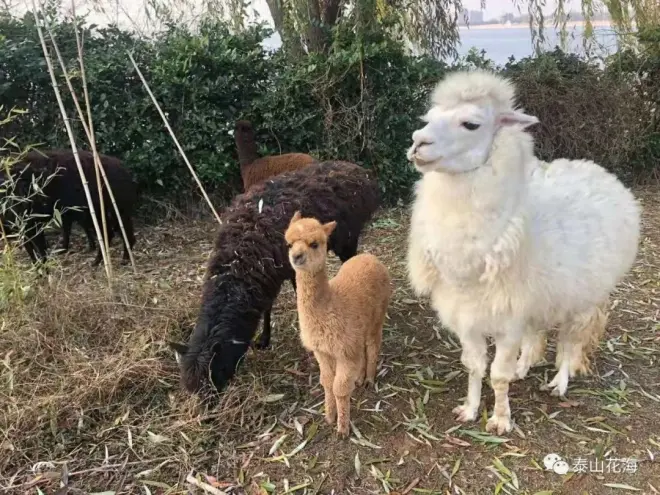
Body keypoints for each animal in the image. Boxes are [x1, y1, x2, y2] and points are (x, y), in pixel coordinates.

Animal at [1, 149, 138, 265]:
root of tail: (124, 169)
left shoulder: (32, 224)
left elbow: (38, 247)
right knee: (114, 233)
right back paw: (102, 260)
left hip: (114, 211)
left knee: (119, 233)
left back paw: (118, 259)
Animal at [169, 160, 380, 395]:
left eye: (215, 372)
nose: (210, 405)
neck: (238, 259)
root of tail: (358, 171)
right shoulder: (266, 277)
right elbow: (268, 306)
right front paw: (264, 339)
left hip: (348, 239)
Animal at [285, 211, 391, 437]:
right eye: (289, 244)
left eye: (314, 243)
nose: (296, 257)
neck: (330, 306)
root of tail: (370, 256)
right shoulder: (323, 351)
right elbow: (326, 382)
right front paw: (329, 417)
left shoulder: (344, 352)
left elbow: (339, 388)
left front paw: (342, 429)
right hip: (358, 329)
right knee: (362, 349)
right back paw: (359, 379)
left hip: (377, 315)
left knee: (372, 345)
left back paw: (369, 380)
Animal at [406, 69, 641, 435]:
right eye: (428, 118)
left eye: (471, 124)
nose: (418, 144)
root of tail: (598, 170)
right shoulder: (469, 315)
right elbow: (474, 367)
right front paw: (470, 410)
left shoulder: (508, 320)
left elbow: (497, 375)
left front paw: (501, 420)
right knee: (539, 332)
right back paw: (524, 367)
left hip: (584, 297)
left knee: (570, 341)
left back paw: (559, 383)